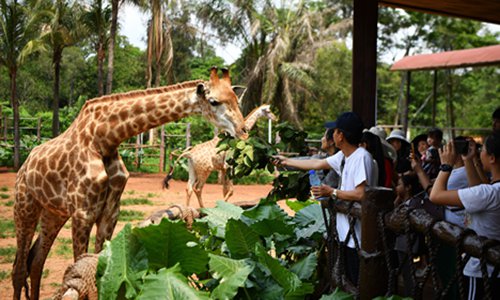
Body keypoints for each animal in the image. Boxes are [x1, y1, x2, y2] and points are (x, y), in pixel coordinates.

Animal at [11, 68, 246, 300]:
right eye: (214, 101)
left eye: (237, 100)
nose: (243, 131)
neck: (104, 138)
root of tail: (24, 166)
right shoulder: (83, 213)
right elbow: (82, 264)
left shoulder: (110, 212)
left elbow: (101, 269)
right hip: (25, 206)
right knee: (19, 268)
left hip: (54, 212)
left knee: (36, 261)